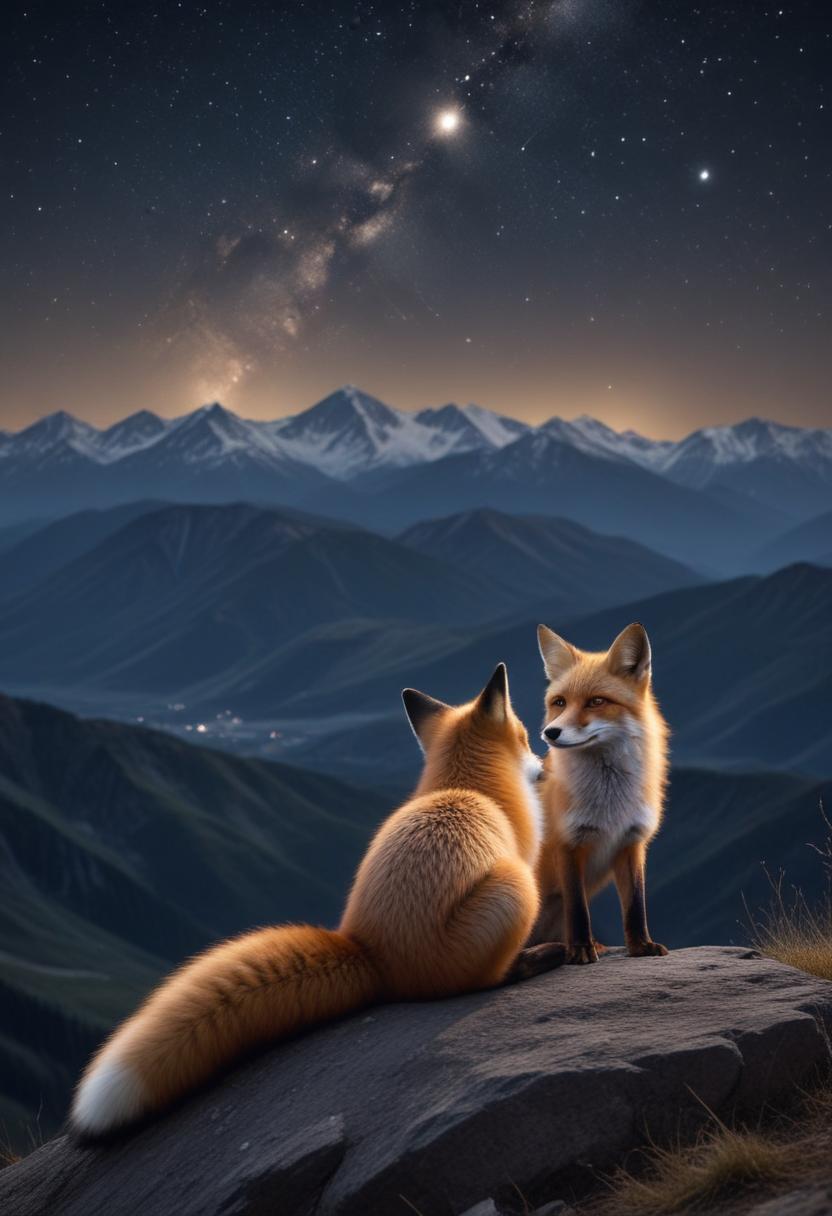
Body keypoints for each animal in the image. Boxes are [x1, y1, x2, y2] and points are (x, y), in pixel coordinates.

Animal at [70, 663, 565, 1139]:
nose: (545, 762)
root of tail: (370, 952)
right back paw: (535, 960)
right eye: (525, 737)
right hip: (514, 886)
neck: (469, 788)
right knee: (481, 982)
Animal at [532, 621, 670, 965]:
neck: (610, 803)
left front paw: (641, 947)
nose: (550, 732)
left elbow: (635, 905)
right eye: (559, 702)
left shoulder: (631, 842)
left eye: (596, 701)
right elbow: (578, 908)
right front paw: (581, 950)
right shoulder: (567, 843)